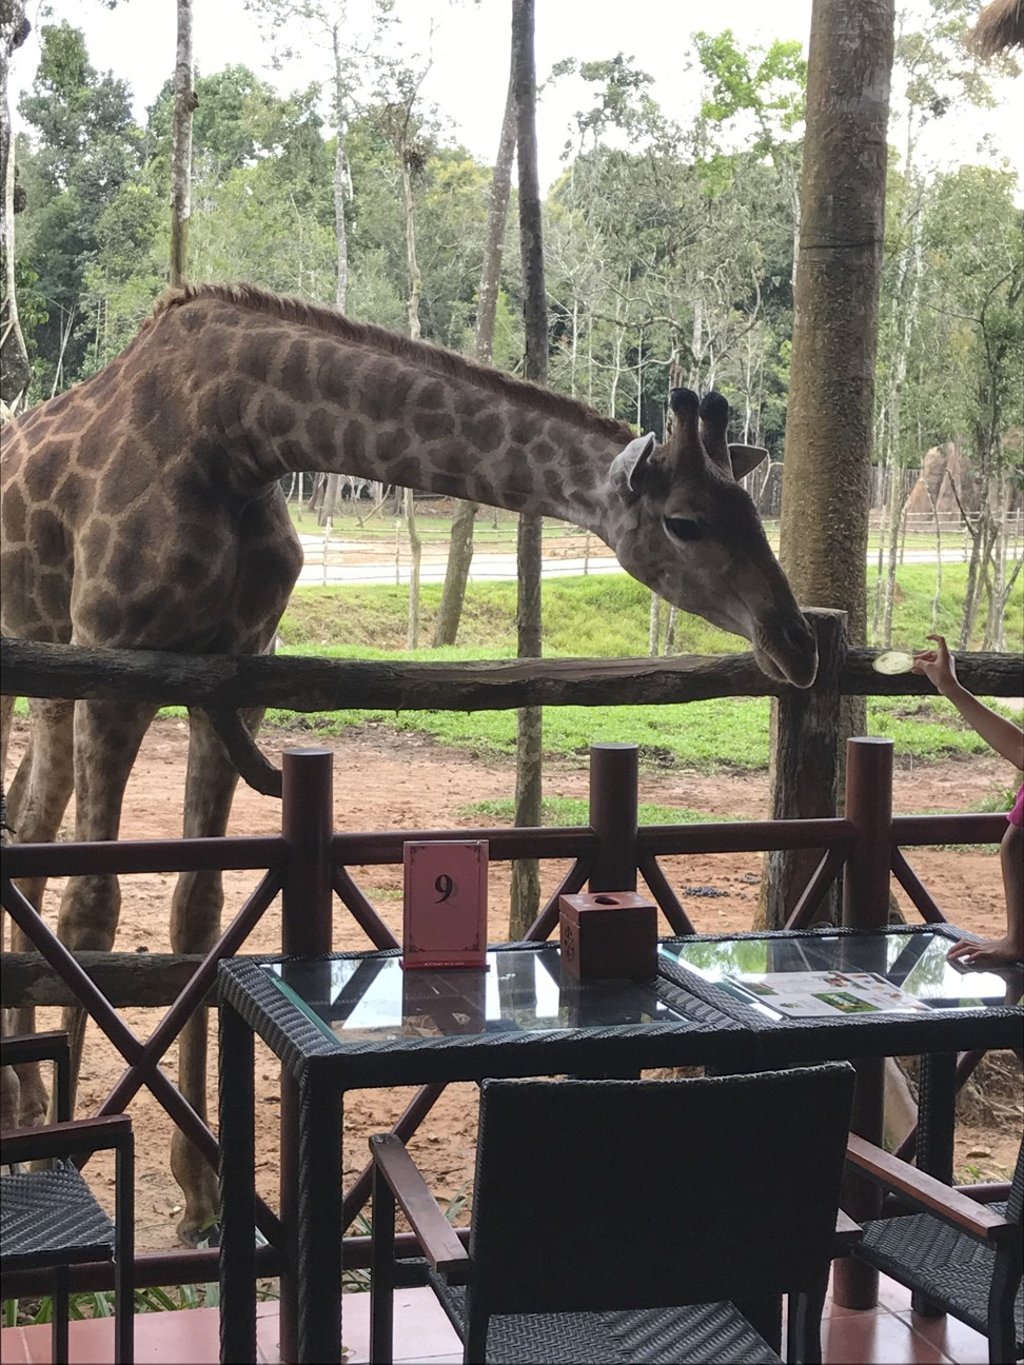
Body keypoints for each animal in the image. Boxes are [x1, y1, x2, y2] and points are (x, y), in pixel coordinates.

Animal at [0, 283, 817, 1242]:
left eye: (754, 510)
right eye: (685, 521)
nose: (797, 643)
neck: (240, 434)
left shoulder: (232, 673)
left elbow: (196, 911)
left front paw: (203, 1195)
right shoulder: (117, 663)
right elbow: (92, 908)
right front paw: (61, 1158)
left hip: (50, 663)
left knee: (29, 818)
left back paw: (21, 1096)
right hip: (45, 655)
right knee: (41, 841)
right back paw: (29, 1114)